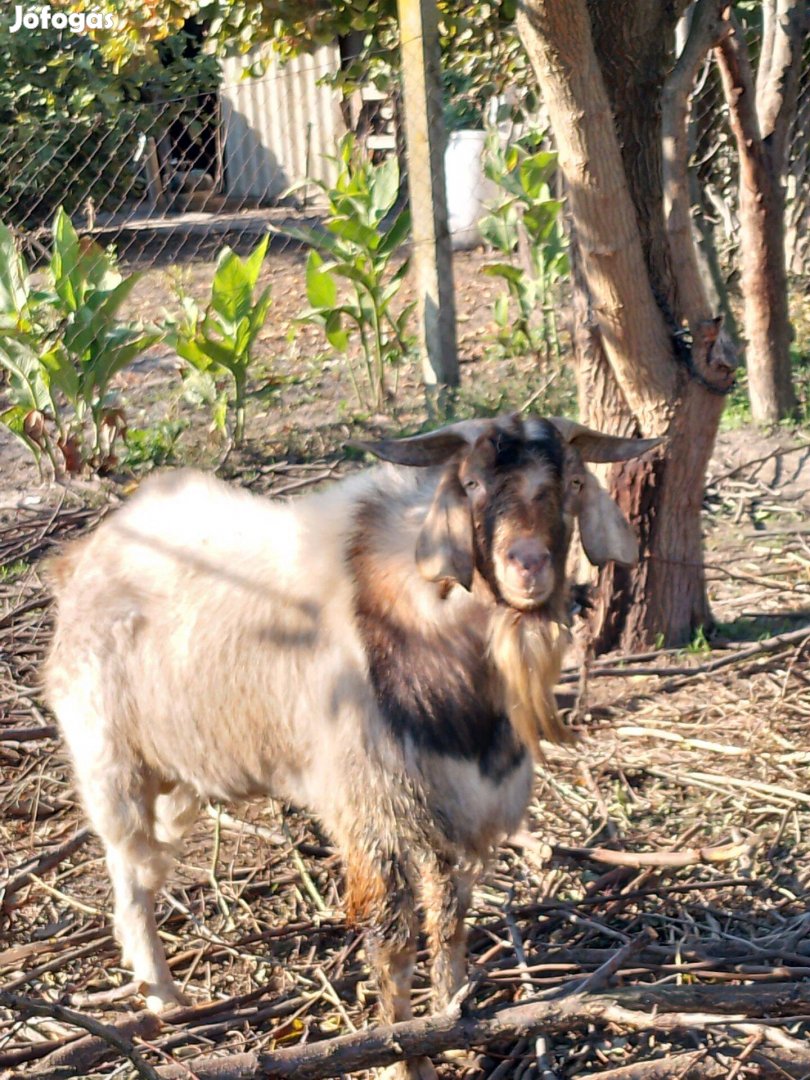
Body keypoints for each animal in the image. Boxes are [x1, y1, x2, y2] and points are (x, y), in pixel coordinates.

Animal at [44, 410, 660, 1071]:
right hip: (108, 759)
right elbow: (393, 941)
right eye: (470, 484)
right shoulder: (374, 811)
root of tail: (82, 557)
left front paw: (455, 1018)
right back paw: (161, 996)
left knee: (151, 863)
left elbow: (450, 920)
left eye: (572, 482)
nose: (529, 564)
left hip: (179, 772)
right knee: (129, 874)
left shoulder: (453, 809)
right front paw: (405, 1054)